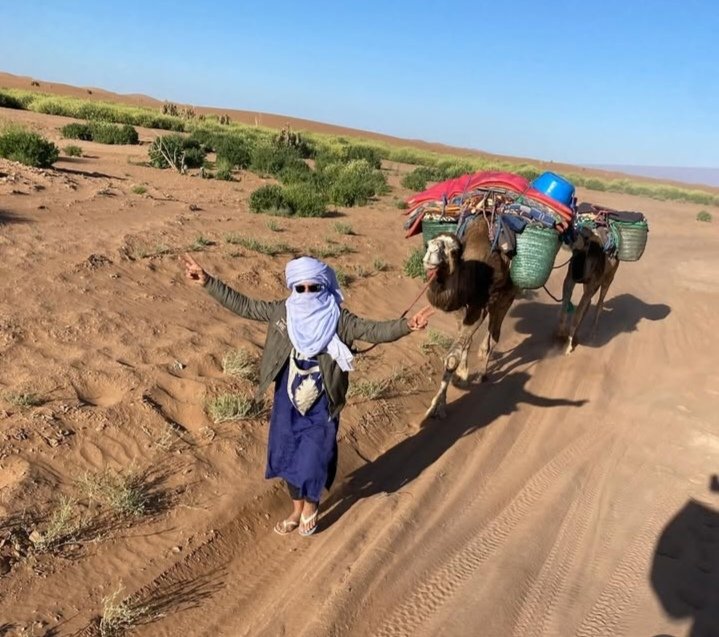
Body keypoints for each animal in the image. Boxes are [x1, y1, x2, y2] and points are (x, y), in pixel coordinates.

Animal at [422, 217, 516, 418]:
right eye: (428, 243)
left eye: (452, 251)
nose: (430, 256)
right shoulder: (460, 307)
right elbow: (462, 344)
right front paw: (461, 377)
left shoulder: (479, 306)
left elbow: (451, 358)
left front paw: (435, 408)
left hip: (507, 296)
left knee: (495, 334)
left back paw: (482, 374)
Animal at [557, 226, 620, 355]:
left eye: (585, 237)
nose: (565, 237)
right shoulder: (569, 280)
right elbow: (565, 307)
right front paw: (561, 334)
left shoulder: (593, 285)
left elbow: (577, 315)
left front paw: (568, 347)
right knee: (588, 304)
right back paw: (577, 335)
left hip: (608, 279)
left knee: (599, 303)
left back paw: (592, 334)